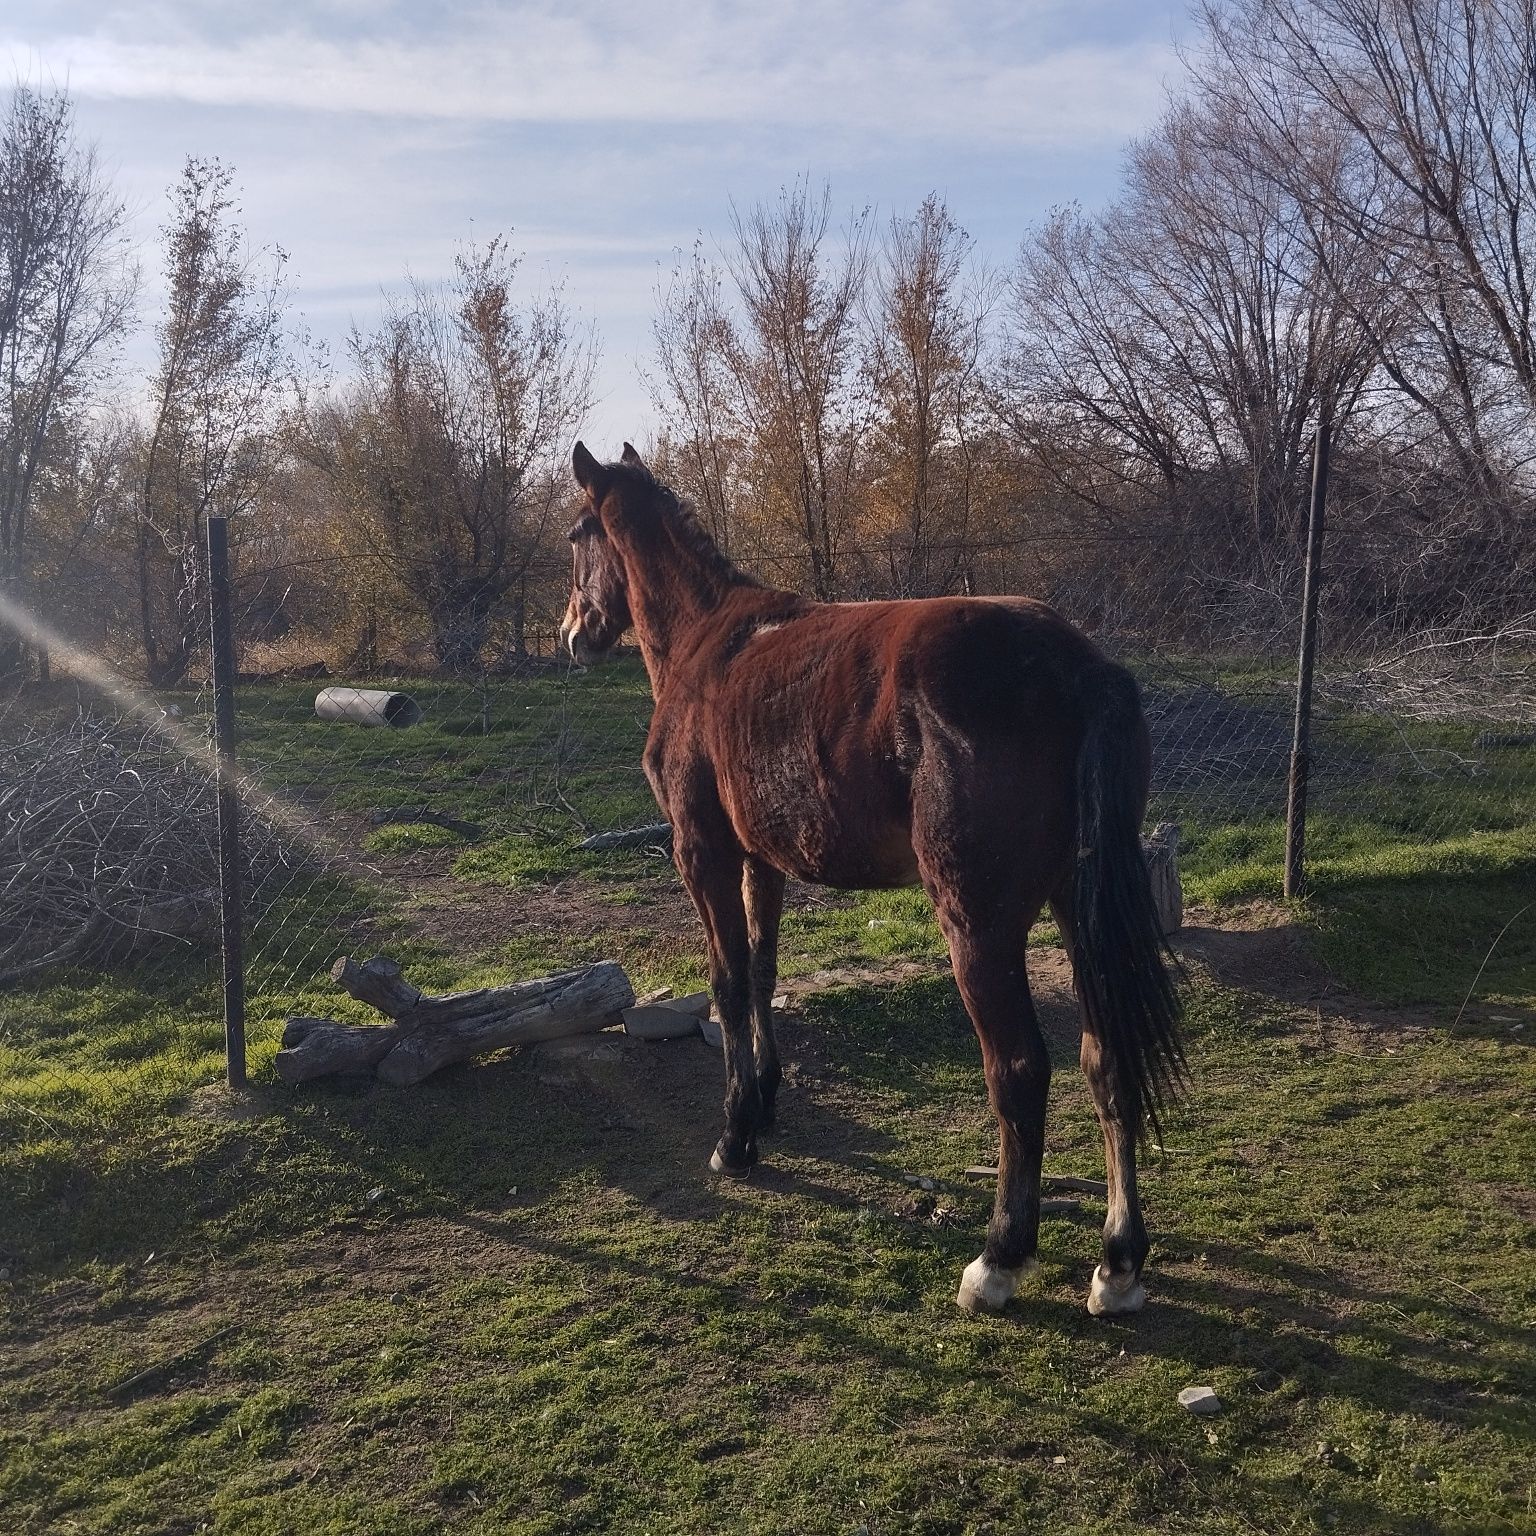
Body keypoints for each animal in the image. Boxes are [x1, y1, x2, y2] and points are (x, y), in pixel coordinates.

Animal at [559, 439, 1179, 1314]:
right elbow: (761, 973)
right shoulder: (762, 861)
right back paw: (1119, 1261)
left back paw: (998, 1258)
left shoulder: (702, 854)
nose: (572, 634)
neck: (707, 644)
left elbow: (726, 982)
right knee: (1106, 1058)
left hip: (978, 925)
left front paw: (733, 1137)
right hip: (1076, 905)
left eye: (576, 535)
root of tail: (1079, 668)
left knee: (1020, 1070)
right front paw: (764, 1099)